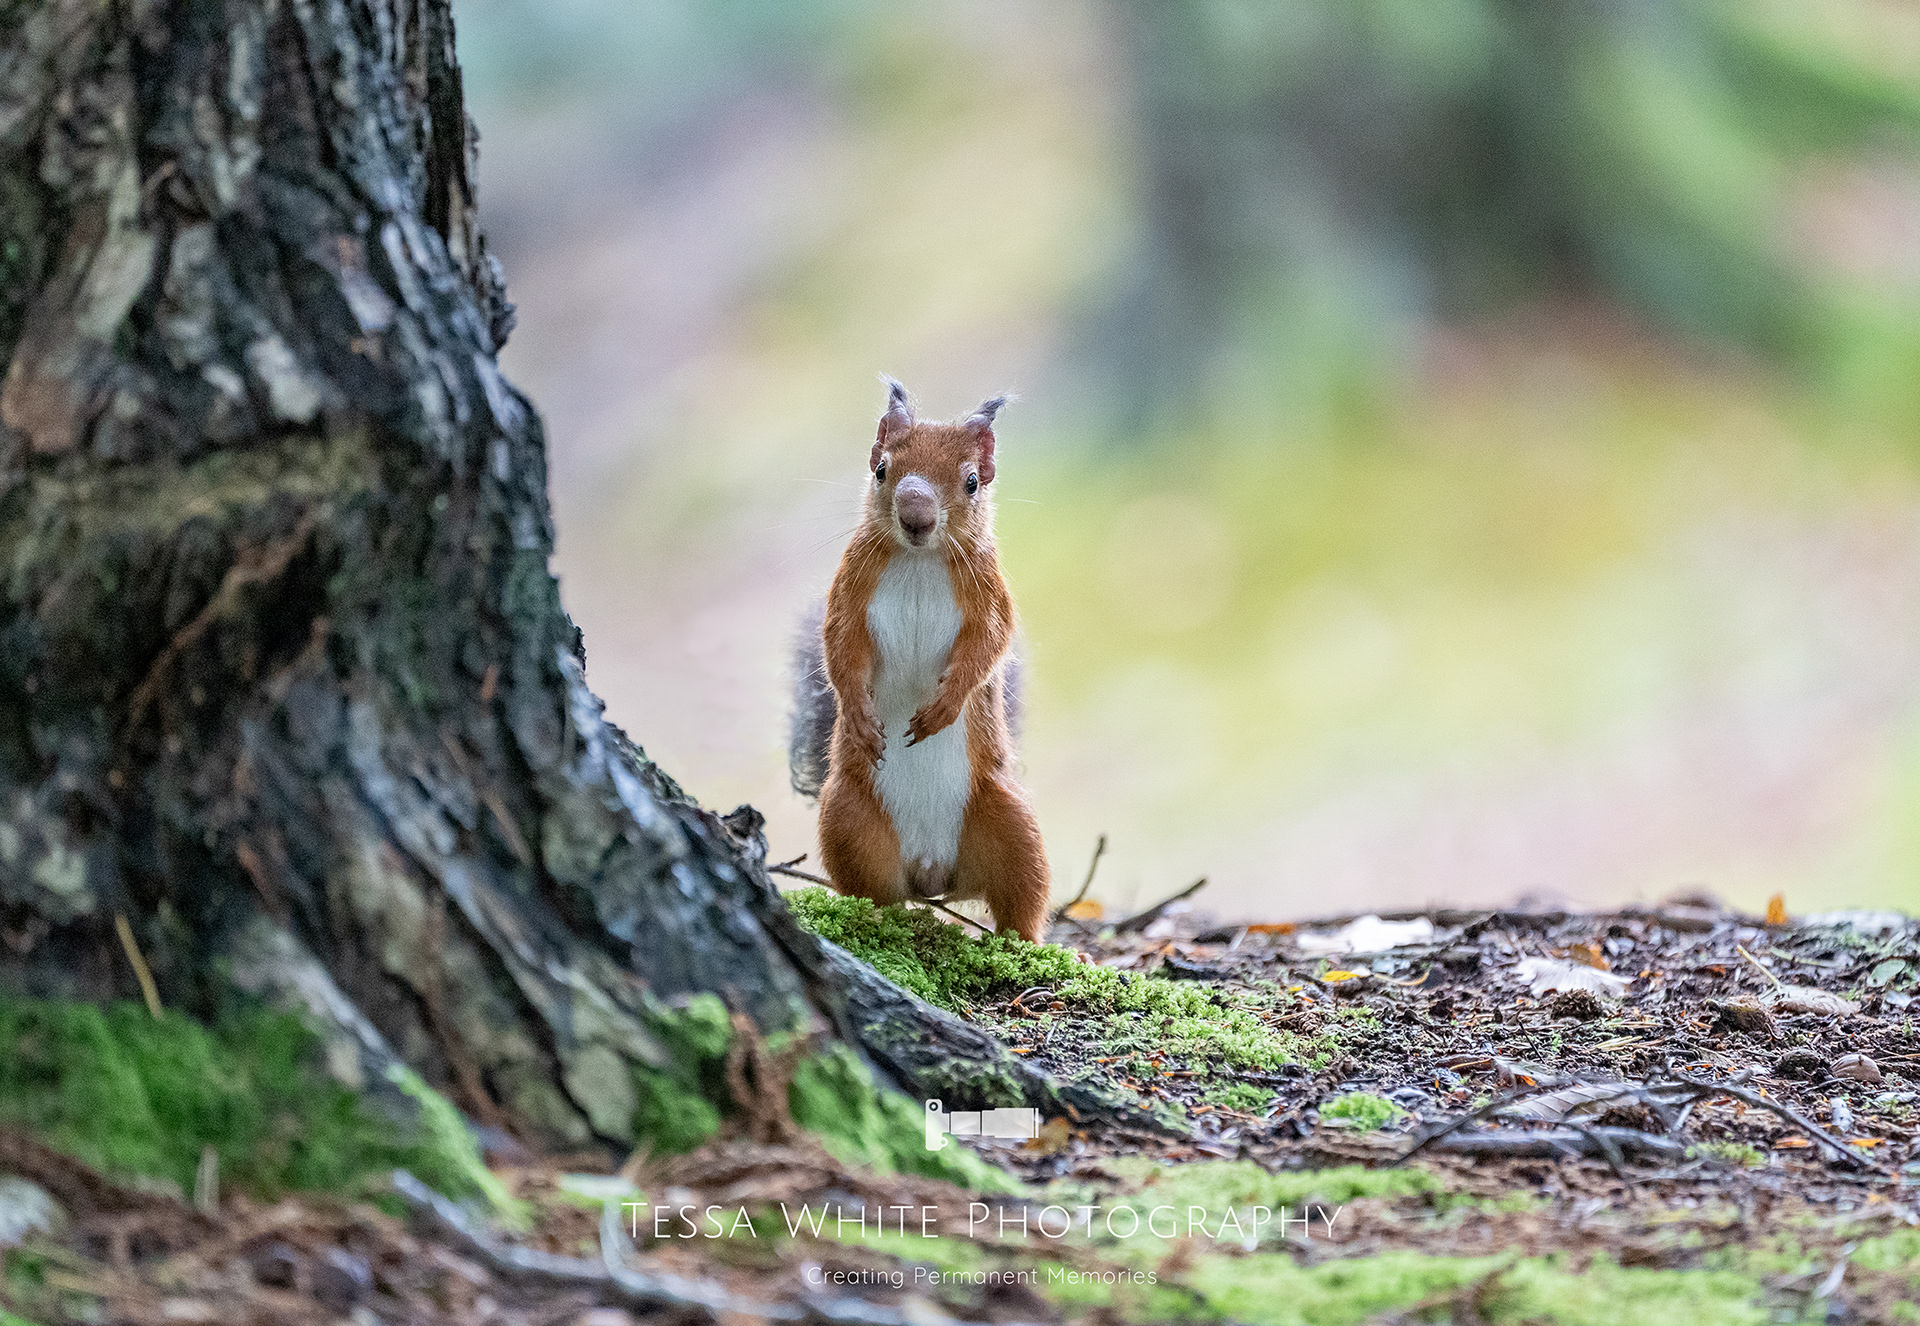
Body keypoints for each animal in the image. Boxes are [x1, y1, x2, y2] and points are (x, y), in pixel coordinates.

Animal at [788, 378, 1050, 941]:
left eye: (972, 481)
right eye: (881, 469)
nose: (915, 516)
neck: (918, 558)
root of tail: (932, 871)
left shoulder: (989, 594)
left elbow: (986, 647)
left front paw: (943, 709)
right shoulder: (850, 589)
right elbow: (840, 650)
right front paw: (860, 717)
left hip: (1012, 824)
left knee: (1022, 903)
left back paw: (1035, 944)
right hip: (849, 823)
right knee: (876, 894)